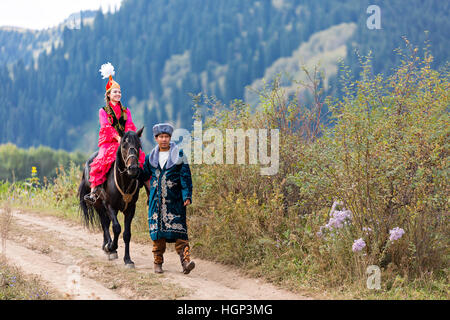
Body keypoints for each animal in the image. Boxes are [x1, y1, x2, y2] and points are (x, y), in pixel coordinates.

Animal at [78, 127, 146, 268]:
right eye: (124, 146)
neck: (123, 181)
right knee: (104, 223)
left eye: (139, 145)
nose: (133, 169)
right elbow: (116, 228)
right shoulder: (110, 206)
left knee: (106, 222)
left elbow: (127, 234)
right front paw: (111, 247)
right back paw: (108, 247)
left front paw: (128, 260)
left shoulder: (130, 209)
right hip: (98, 204)